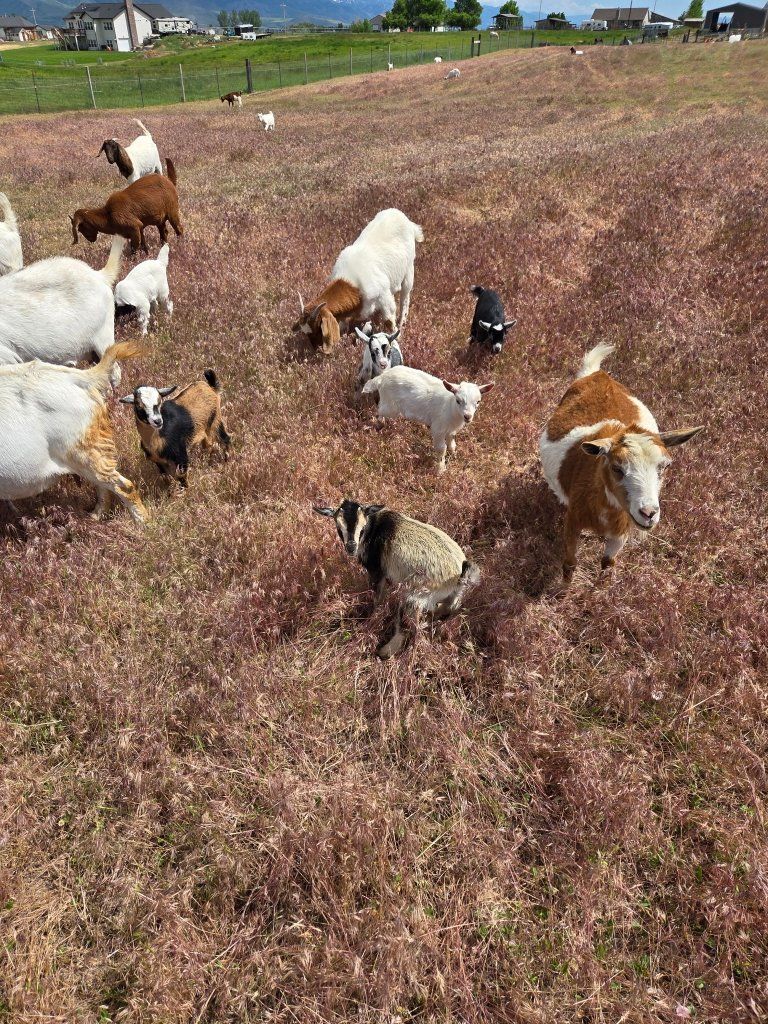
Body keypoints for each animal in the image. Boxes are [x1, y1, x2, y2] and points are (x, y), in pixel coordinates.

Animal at [0, 340, 147, 522]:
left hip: (84, 452)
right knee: (104, 487)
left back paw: (143, 522)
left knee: (123, 486)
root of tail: (83, 377)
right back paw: (96, 516)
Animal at [293, 208, 423, 354]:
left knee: (405, 298)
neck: (352, 284)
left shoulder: (384, 297)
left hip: (409, 269)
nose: (316, 349)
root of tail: (402, 217)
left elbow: (389, 321)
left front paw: (396, 341)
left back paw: (402, 323)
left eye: (317, 328)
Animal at [313, 499, 480, 658]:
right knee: (450, 607)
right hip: (452, 595)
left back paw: (385, 651)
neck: (373, 528)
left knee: (407, 625)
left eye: (362, 527)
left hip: (413, 597)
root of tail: (459, 572)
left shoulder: (377, 572)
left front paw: (372, 618)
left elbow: (377, 599)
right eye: (338, 526)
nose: (351, 547)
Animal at [362, 367, 494, 473]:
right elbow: (441, 449)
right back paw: (377, 424)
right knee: (380, 410)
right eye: (458, 400)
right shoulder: (438, 428)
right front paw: (441, 469)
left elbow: (452, 444)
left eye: (478, 401)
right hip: (390, 406)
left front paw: (455, 455)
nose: (468, 416)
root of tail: (382, 377)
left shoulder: (451, 430)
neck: (450, 408)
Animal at [540, 344, 704, 581]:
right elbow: (570, 563)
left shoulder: (622, 530)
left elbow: (608, 564)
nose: (648, 514)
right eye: (617, 468)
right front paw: (563, 589)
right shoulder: (572, 521)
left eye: (665, 466)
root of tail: (598, 374)